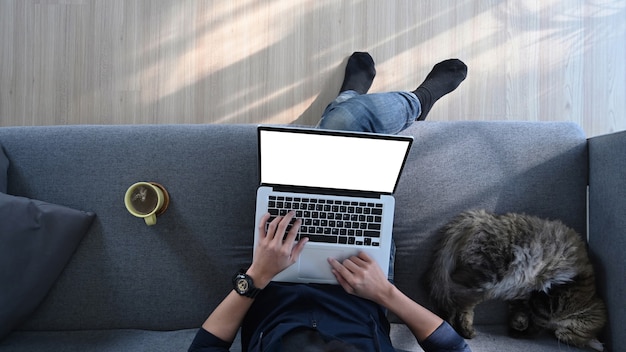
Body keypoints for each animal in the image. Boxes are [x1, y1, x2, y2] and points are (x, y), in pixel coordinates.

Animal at [428, 210, 604, 350]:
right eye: (567, 335)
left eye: (560, 336)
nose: (558, 335)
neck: (588, 301)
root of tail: (483, 217)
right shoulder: (549, 298)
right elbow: (537, 320)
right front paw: (522, 329)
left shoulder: (524, 295)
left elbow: (520, 312)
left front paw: (518, 326)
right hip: (487, 276)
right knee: (452, 295)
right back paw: (458, 324)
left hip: (480, 283)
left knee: (458, 300)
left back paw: (461, 327)